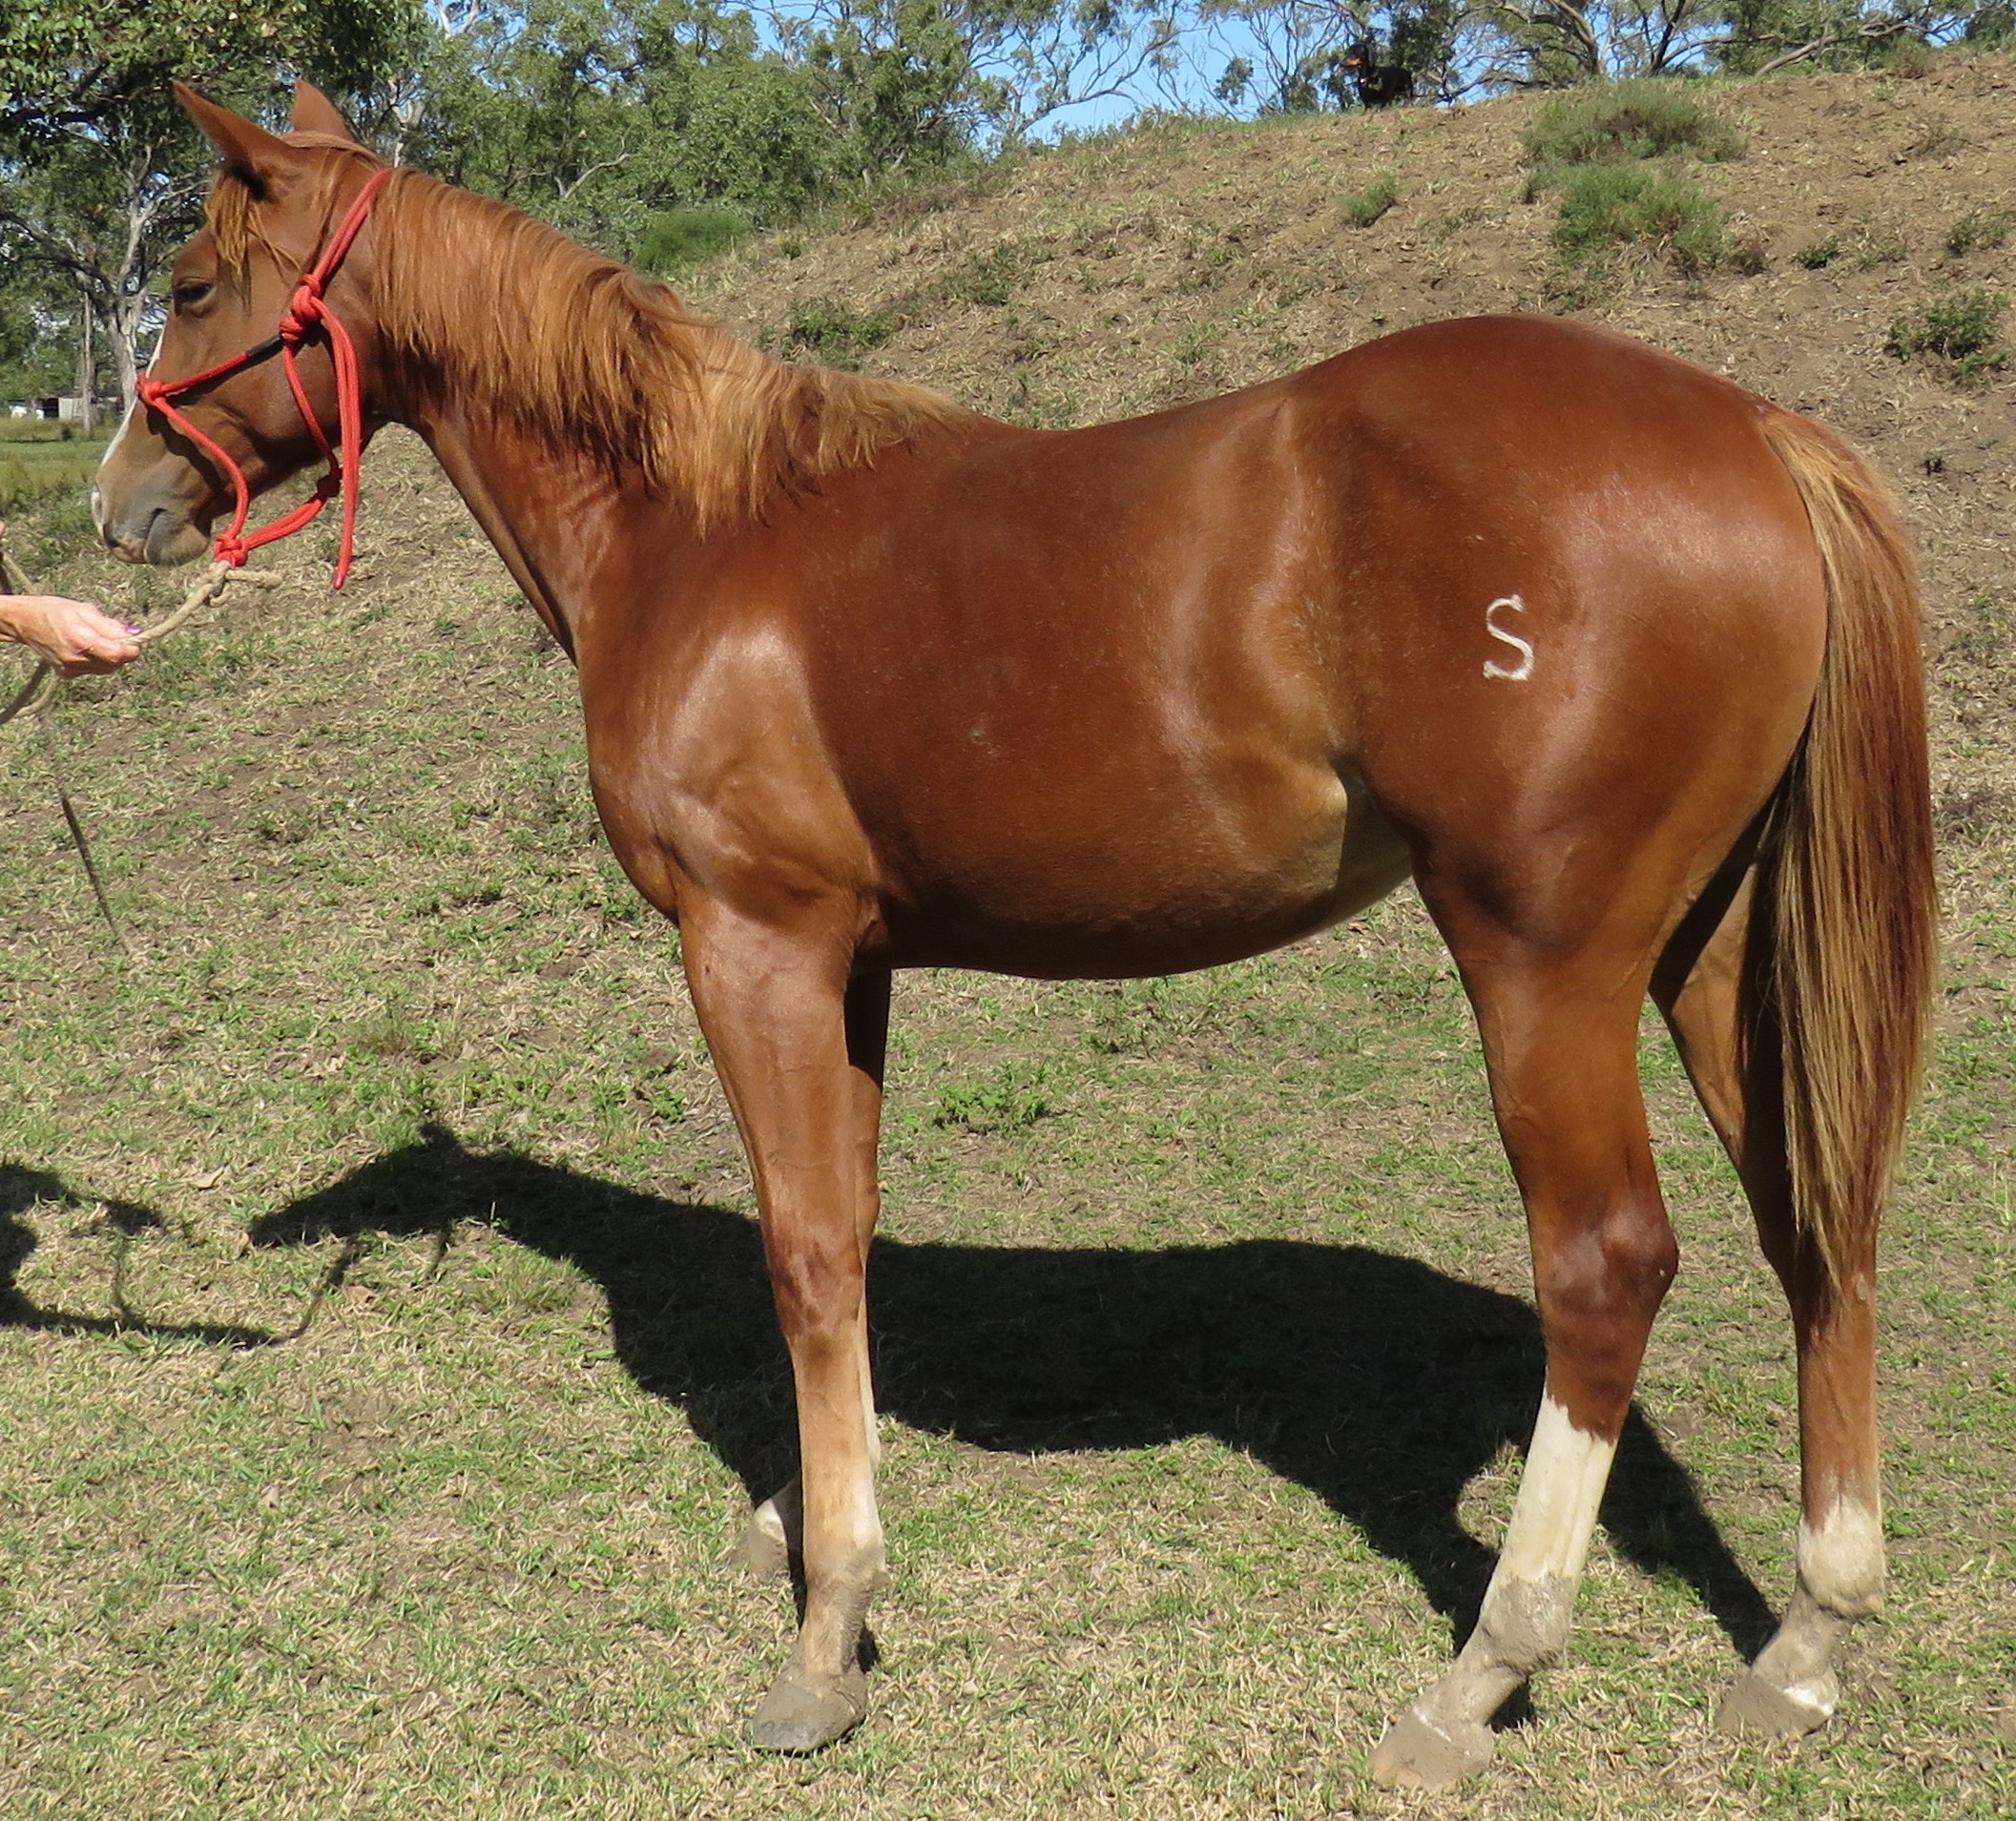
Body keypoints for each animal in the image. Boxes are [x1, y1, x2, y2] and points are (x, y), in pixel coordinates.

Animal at [94, 83, 1936, 1790]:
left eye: (188, 284)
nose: (119, 508)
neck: (694, 533)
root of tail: (1756, 431)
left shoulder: (754, 946)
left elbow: (804, 1253)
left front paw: (828, 1635)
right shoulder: (852, 963)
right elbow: (843, 1228)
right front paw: (803, 1516)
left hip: (1543, 963)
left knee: (1609, 1264)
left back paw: (1481, 1673)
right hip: (1710, 958)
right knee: (1816, 1224)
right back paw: (1802, 1642)